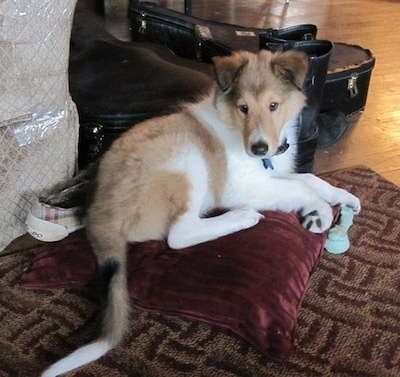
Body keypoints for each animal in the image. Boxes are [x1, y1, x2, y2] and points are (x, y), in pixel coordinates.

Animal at [42, 50, 360, 376]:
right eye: (244, 108)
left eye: (274, 105)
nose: (259, 149)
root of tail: (100, 216)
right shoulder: (240, 187)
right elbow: (299, 187)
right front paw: (320, 211)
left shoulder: (269, 175)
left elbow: (307, 179)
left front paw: (344, 198)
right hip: (188, 159)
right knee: (179, 234)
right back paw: (242, 217)